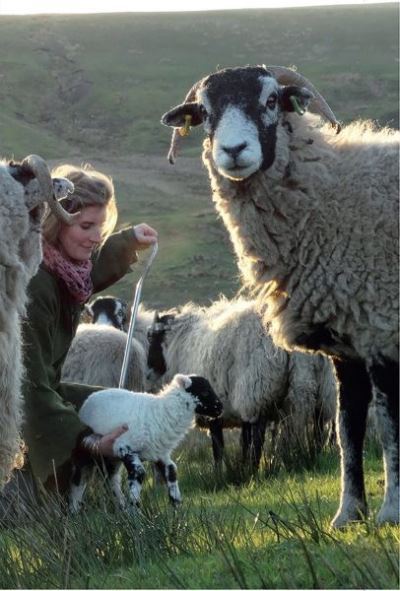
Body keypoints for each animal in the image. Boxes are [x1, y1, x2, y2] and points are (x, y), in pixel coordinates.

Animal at [70, 376, 223, 512]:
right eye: (204, 391)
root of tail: (87, 401)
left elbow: (172, 470)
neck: (161, 411)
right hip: (86, 451)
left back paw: (121, 508)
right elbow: (139, 473)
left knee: (111, 480)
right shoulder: (125, 447)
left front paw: (177, 509)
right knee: (79, 480)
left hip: (111, 458)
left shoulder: (160, 454)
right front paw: (135, 514)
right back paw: (74, 511)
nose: (220, 408)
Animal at [145, 298, 336, 474]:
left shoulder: (217, 406)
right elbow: (244, 440)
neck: (182, 343)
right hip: (321, 387)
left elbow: (219, 447)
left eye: (151, 337)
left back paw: (255, 469)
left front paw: (220, 473)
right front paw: (242, 464)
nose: (147, 374)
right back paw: (312, 456)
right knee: (318, 427)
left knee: (259, 435)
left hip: (257, 388)